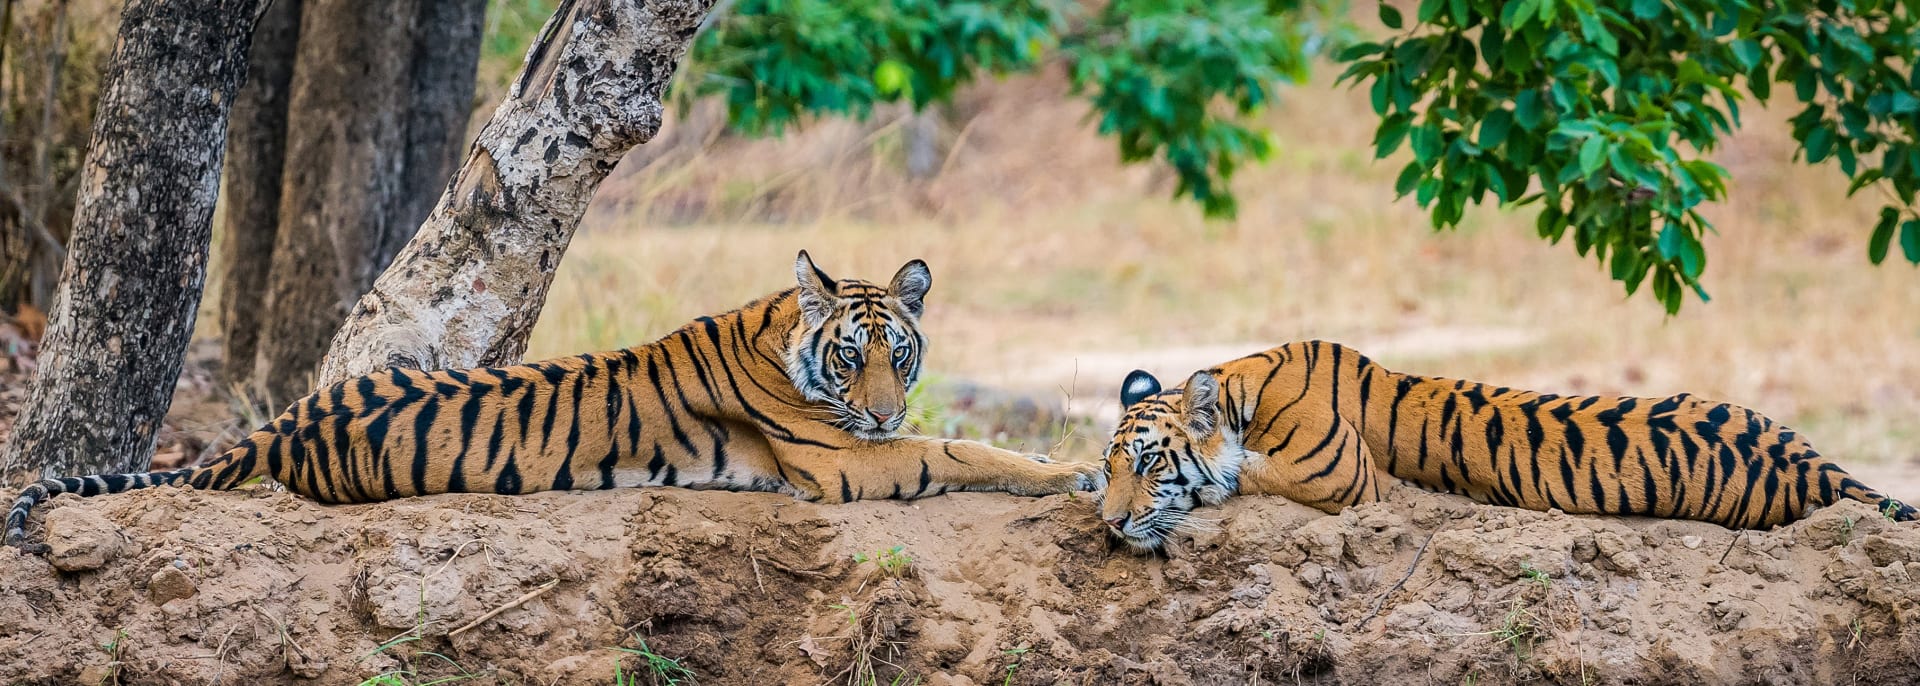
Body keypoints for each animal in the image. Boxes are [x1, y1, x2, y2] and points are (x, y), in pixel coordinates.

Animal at [3, 251, 1098, 549]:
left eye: (899, 356)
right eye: (852, 355)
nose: (879, 411)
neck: (781, 329)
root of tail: (284, 423)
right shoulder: (837, 462)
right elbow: (960, 450)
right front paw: (1078, 470)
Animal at [1105, 340, 1912, 549]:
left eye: (1149, 463)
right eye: (1113, 466)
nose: (1110, 526)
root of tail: (1817, 465)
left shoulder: (1342, 480)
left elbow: (1245, 476)